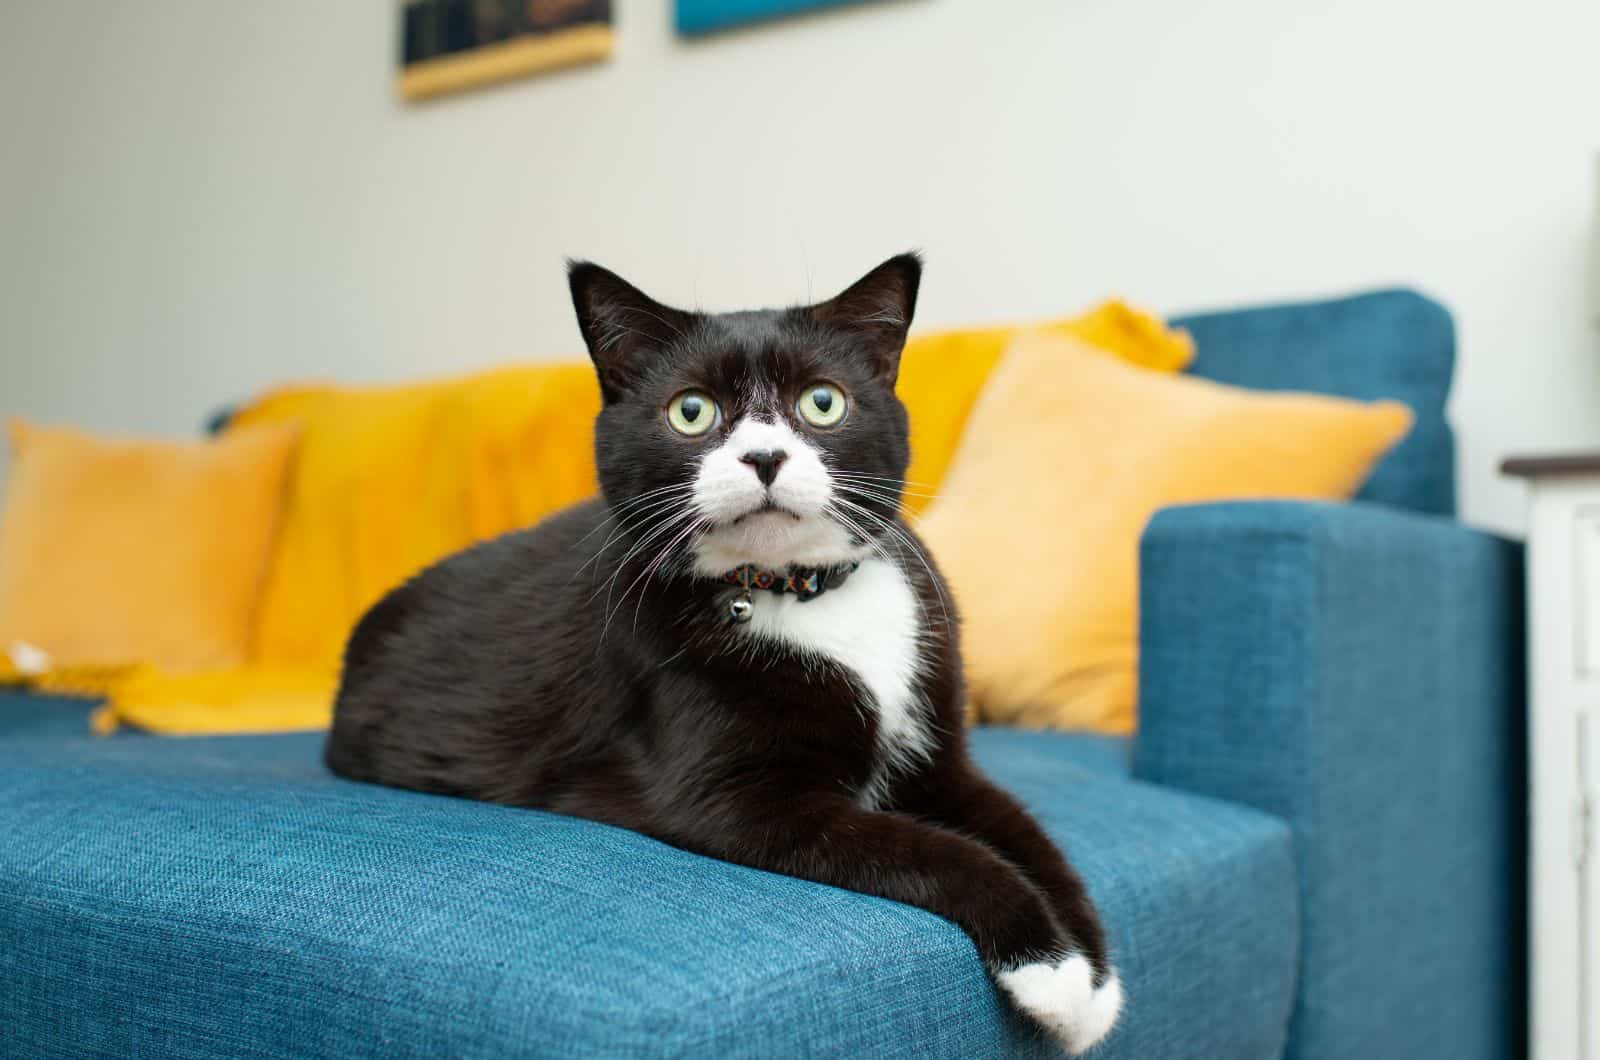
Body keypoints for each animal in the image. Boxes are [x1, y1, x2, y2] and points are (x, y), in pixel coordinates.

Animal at [323, 256, 1120, 1056]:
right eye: (692, 411)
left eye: (822, 402)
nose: (764, 455)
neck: (803, 594)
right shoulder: (733, 797)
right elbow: (932, 849)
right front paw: (1050, 971)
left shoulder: (939, 753)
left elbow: (1026, 833)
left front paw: (1096, 982)